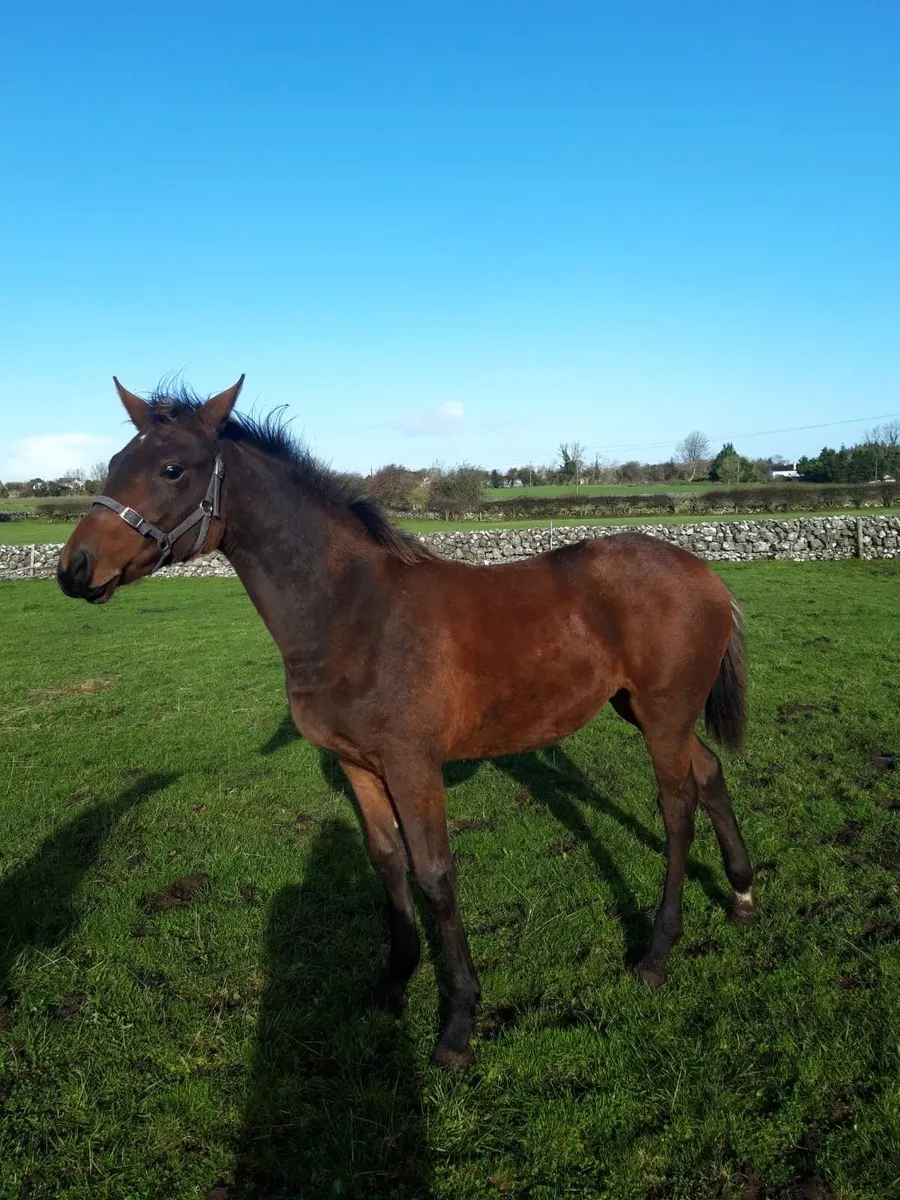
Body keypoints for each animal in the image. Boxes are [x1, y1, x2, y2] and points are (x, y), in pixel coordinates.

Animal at [58, 376, 756, 1070]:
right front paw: (393, 981)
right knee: (710, 771)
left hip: (663, 716)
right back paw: (743, 896)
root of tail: (706, 572)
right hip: (644, 710)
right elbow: (387, 863)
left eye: (172, 469)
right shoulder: (359, 764)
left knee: (677, 808)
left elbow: (436, 875)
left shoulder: (413, 764)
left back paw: (657, 952)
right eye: (114, 462)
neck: (353, 613)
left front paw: (459, 1022)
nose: (74, 568)